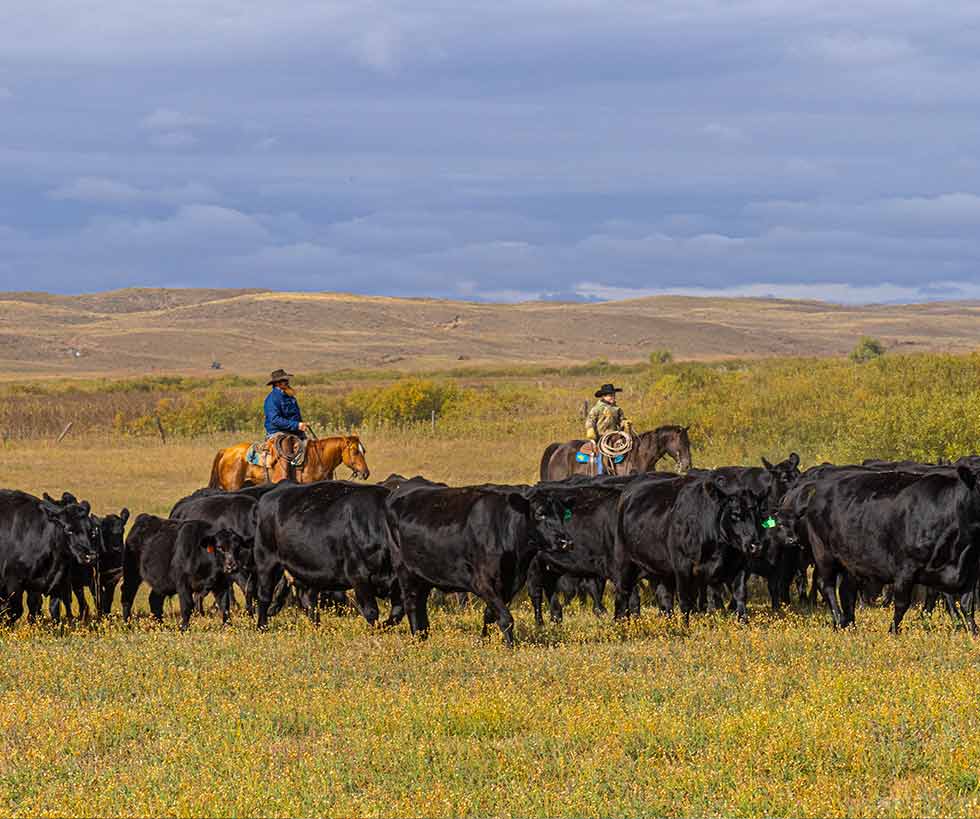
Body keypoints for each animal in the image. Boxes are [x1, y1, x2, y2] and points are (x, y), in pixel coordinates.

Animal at [207, 436, 372, 494]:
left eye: (364, 450)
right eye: (355, 452)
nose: (366, 473)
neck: (318, 458)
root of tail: (226, 451)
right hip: (232, 487)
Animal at [255, 480, 404, 628]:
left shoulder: (397, 584)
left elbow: (397, 613)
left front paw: (383, 626)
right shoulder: (359, 577)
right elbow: (371, 611)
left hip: (309, 570)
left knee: (308, 599)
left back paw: (317, 627)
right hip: (266, 560)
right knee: (264, 596)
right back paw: (262, 627)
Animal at [384, 480, 572, 648]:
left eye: (562, 514)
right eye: (540, 513)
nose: (565, 541)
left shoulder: (510, 584)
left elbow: (490, 615)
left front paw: (483, 640)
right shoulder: (482, 581)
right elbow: (506, 618)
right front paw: (510, 647)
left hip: (424, 575)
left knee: (420, 604)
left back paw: (423, 636)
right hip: (405, 570)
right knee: (411, 604)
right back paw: (417, 638)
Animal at [808, 468, 980, 636]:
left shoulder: (970, 570)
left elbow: (967, 604)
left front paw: (974, 632)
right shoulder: (906, 567)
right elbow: (902, 604)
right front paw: (892, 632)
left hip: (850, 561)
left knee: (847, 590)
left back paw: (850, 626)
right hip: (823, 553)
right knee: (827, 585)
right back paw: (838, 621)